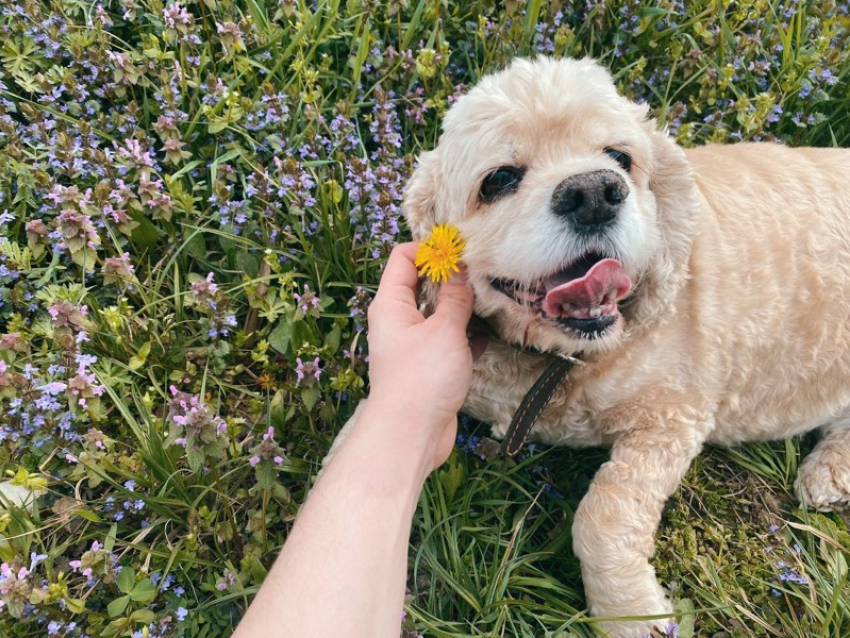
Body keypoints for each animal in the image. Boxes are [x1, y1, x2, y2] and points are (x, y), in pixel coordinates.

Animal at [322, 57, 848, 636]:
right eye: (499, 179)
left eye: (620, 158)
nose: (594, 192)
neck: (555, 359)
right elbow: (354, 450)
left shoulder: (672, 418)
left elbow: (602, 514)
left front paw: (631, 614)